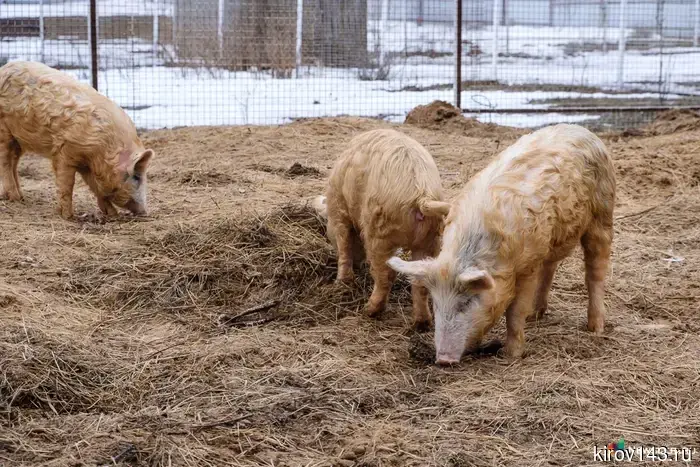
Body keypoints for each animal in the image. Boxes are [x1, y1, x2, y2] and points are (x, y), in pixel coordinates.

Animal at [0, 61, 154, 219]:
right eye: (136, 176)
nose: (145, 212)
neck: (104, 150)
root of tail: (4, 68)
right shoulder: (65, 152)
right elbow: (67, 184)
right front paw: (68, 216)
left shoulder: (87, 166)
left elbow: (95, 187)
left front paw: (112, 215)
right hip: (4, 130)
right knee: (5, 161)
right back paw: (14, 197)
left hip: (18, 140)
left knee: (14, 162)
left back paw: (19, 197)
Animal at [316, 128, 450, 329]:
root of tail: (422, 196)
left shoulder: (339, 211)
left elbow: (344, 247)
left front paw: (341, 282)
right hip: (431, 238)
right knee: (421, 279)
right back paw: (421, 324)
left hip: (379, 233)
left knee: (385, 274)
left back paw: (369, 311)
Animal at [387, 123, 616, 364]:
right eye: (436, 303)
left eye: (467, 302)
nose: (443, 360)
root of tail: (581, 129)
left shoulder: (527, 267)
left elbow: (515, 311)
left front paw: (511, 355)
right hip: (552, 238)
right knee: (550, 267)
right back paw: (535, 315)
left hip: (602, 213)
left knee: (595, 272)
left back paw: (595, 328)